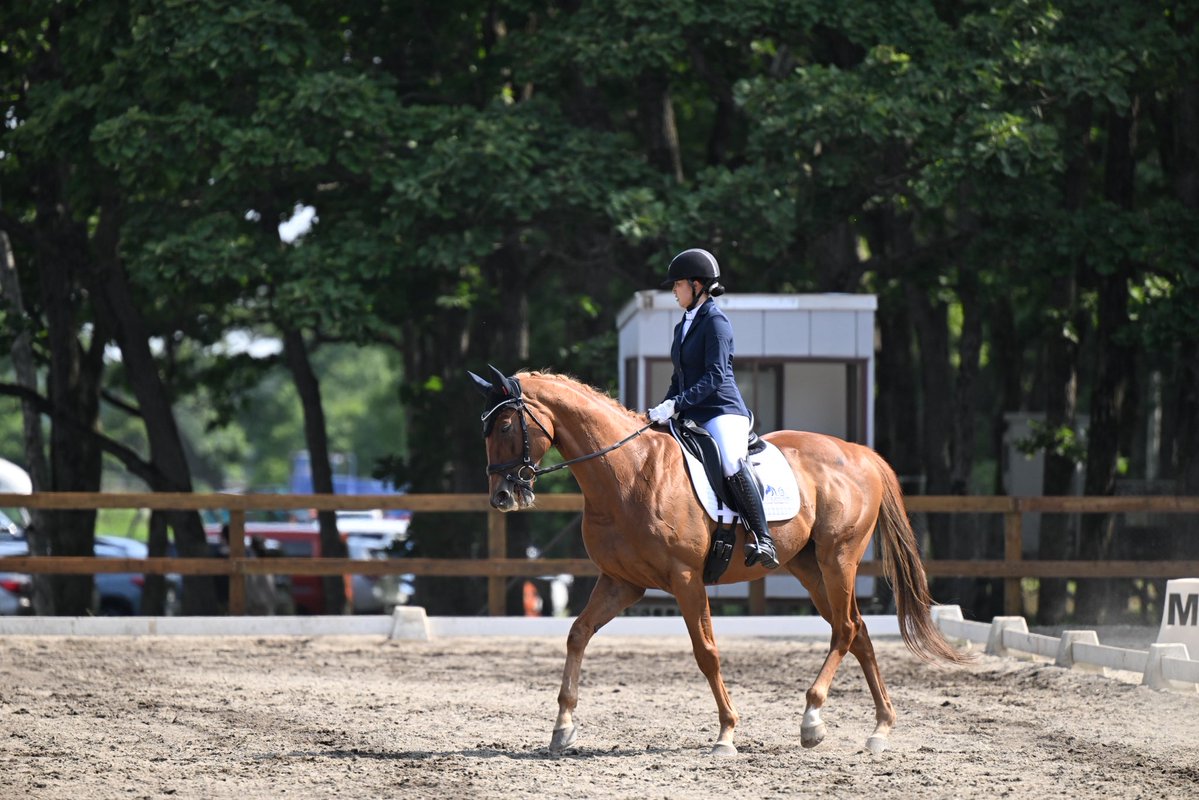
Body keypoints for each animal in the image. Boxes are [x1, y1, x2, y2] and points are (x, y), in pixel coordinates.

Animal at [469, 366, 972, 757]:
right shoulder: (620, 582)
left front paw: (727, 733)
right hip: (809, 569)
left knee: (846, 630)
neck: (627, 472)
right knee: (858, 632)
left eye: (507, 427)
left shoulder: (685, 578)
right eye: (486, 431)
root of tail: (861, 454)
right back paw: (880, 729)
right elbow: (577, 635)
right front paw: (562, 729)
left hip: (839, 558)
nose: (502, 497)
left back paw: (812, 717)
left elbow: (706, 652)